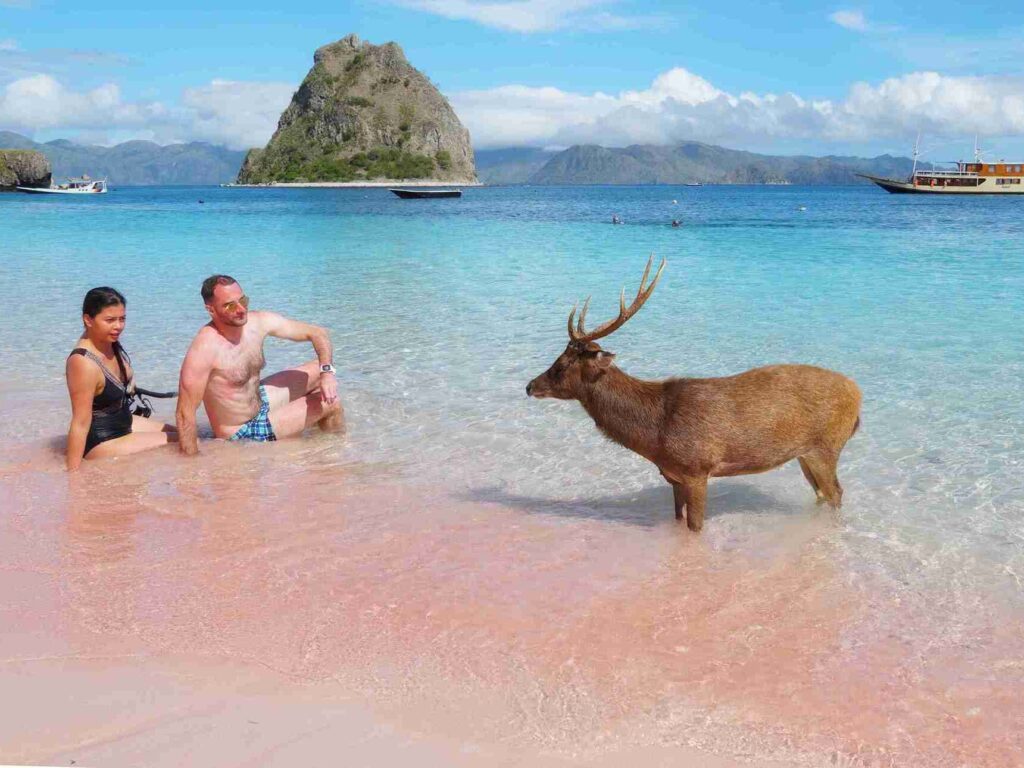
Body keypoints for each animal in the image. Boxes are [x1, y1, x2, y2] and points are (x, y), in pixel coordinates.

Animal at [528, 259, 864, 536]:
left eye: (562, 365)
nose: (530, 386)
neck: (654, 434)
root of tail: (858, 395)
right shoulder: (674, 476)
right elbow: (678, 520)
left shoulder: (697, 469)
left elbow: (696, 526)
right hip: (804, 454)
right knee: (821, 493)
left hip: (826, 446)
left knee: (836, 493)